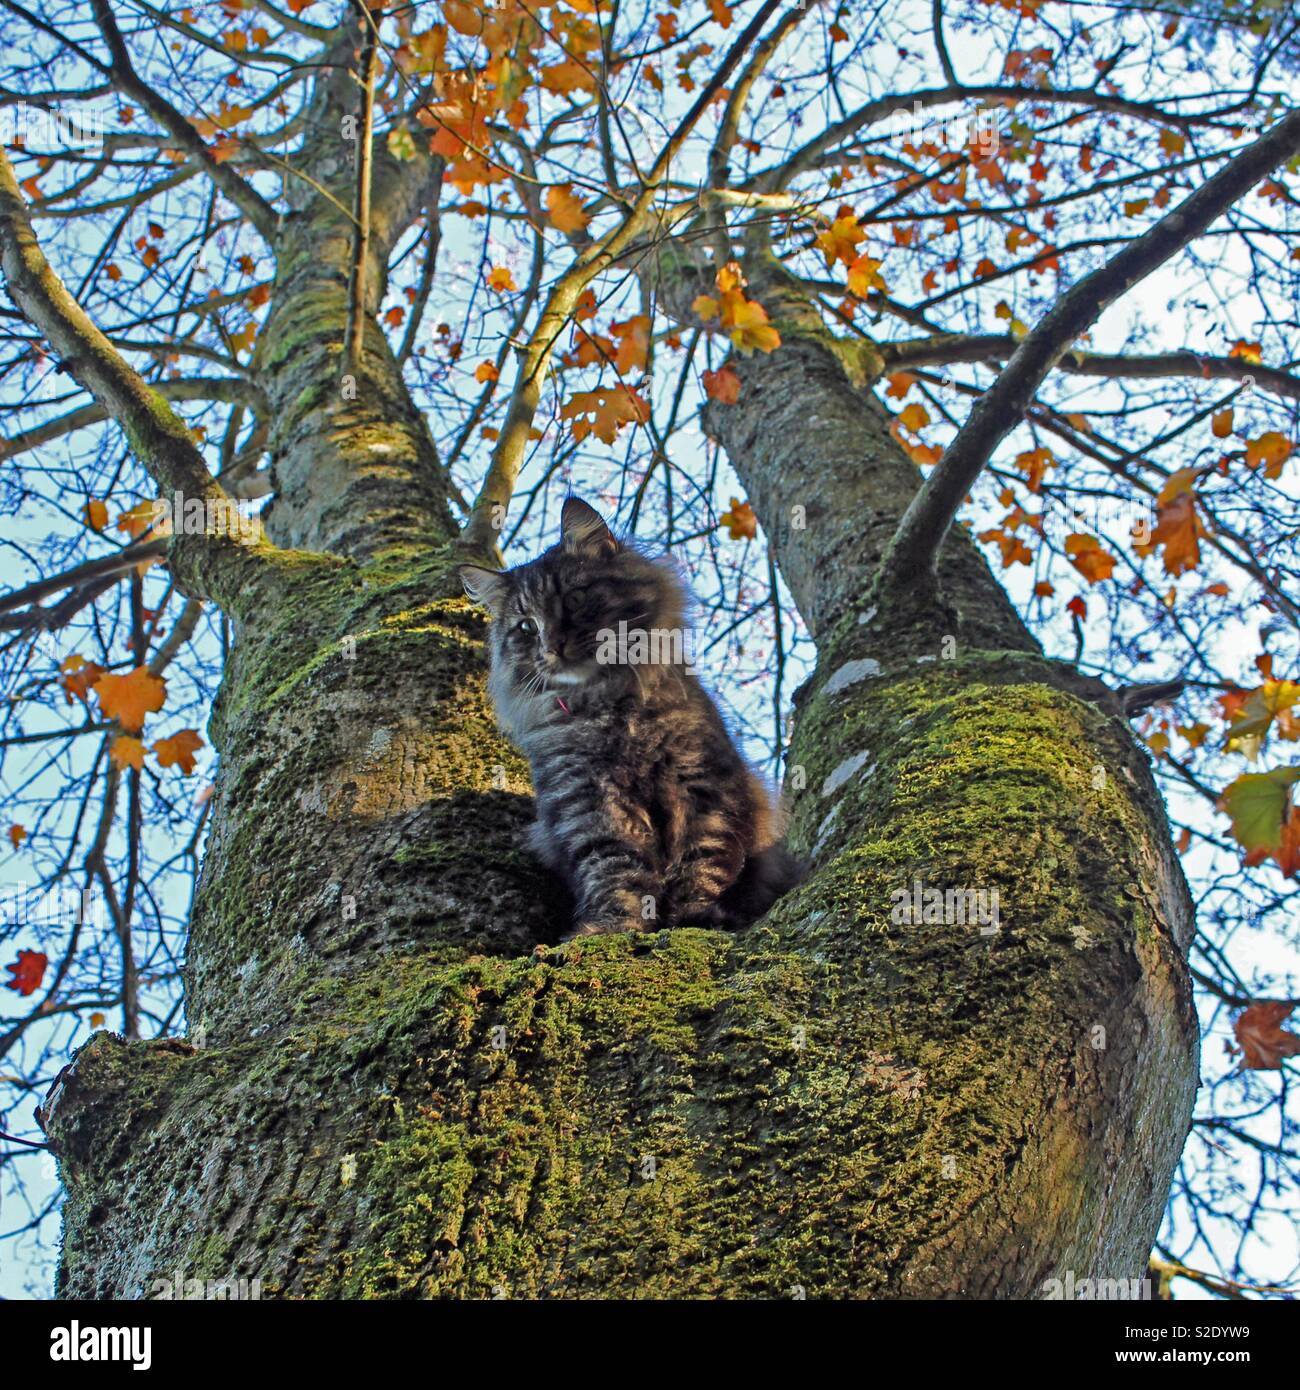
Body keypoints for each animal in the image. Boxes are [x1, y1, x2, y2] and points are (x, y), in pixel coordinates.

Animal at [458, 494, 800, 939]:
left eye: (574, 599)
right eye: (526, 627)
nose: (552, 645)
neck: (608, 707)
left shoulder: (704, 790)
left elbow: (704, 863)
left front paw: (696, 918)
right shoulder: (592, 806)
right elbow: (616, 871)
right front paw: (611, 927)